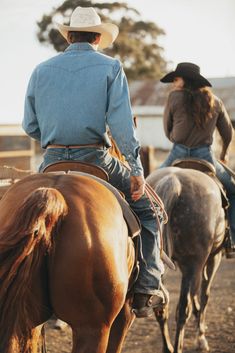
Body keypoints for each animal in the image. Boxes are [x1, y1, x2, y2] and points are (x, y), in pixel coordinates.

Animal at [148, 166, 227, 352]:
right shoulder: (214, 258)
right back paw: (179, 346)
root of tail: (173, 181)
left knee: (161, 307)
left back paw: (168, 347)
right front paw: (201, 338)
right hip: (194, 265)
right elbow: (204, 294)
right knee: (183, 310)